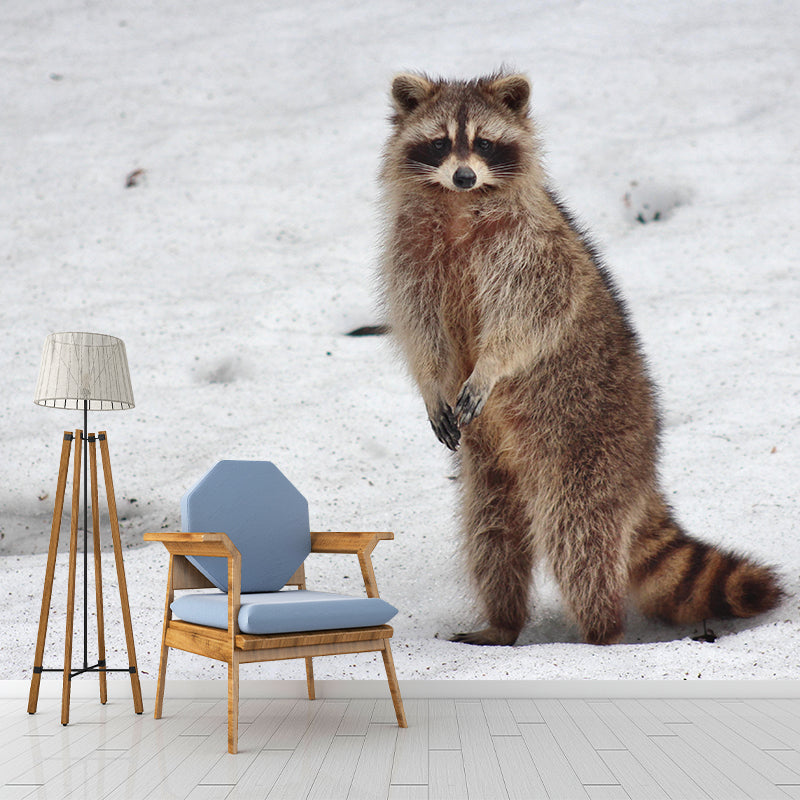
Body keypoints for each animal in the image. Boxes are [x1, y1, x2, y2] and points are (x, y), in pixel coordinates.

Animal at [378, 71, 783, 645]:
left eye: (483, 143)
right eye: (440, 143)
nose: (462, 175)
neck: (459, 206)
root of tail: (645, 469)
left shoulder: (533, 250)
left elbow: (530, 318)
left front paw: (491, 366)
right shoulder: (408, 256)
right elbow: (420, 329)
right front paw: (432, 382)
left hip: (589, 451)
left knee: (579, 536)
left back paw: (600, 632)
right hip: (492, 469)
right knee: (491, 533)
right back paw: (503, 622)